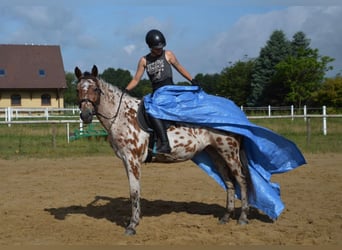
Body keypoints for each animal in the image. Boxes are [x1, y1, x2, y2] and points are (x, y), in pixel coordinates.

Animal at [75, 65, 252, 235]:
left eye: (95, 89)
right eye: (77, 89)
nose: (86, 115)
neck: (122, 117)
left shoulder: (133, 160)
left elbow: (134, 191)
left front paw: (132, 225)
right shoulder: (126, 161)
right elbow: (133, 190)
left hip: (229, 153)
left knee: (242, 180)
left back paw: (243, 218)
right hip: (216, 155)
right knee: (229, 182)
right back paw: (226, 217)